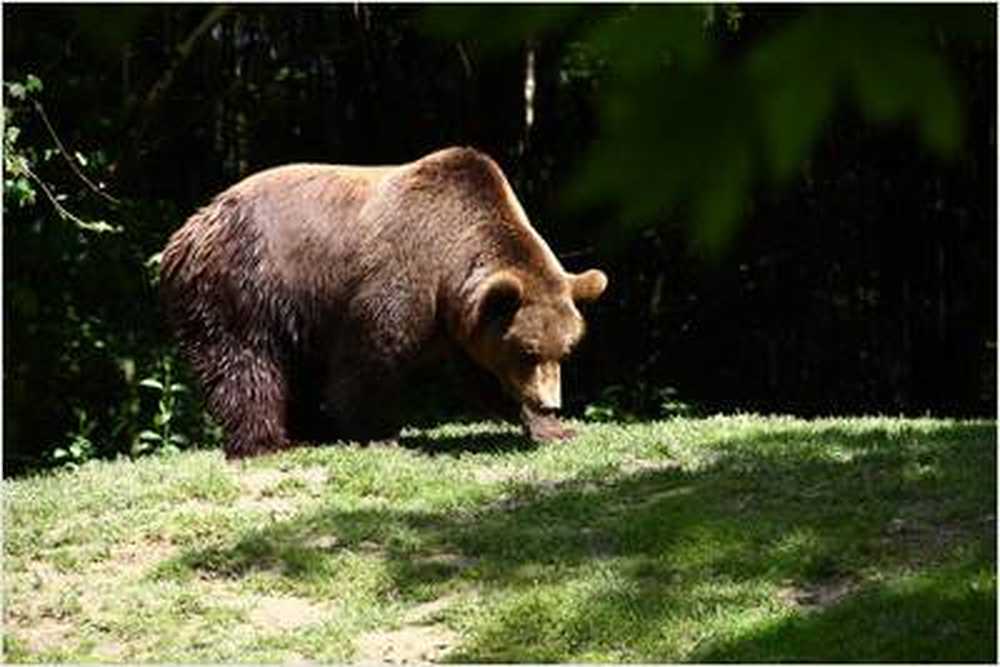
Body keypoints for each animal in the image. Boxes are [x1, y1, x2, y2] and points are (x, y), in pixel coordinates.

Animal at [160, 146, 604, 460]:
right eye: (528, 351)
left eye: (565, 350)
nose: (551, 402)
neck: (448, 265)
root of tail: (187, 231)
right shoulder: (399, 276)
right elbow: (371, 356)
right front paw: (378, 433)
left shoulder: (465, 321)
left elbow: (484, 372)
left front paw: (553, 429)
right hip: (246, 284)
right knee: (246, 362)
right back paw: (268, 442)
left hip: (291, 310)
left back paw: (311, 429)